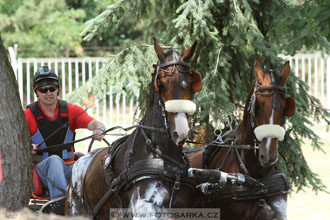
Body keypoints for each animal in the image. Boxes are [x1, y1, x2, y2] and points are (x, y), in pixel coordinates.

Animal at [65, 37, 202, 218]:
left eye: (191, 84)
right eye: (162, 84)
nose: (181, 131)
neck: (161, 159)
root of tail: (80, 161)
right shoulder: (143, 207)